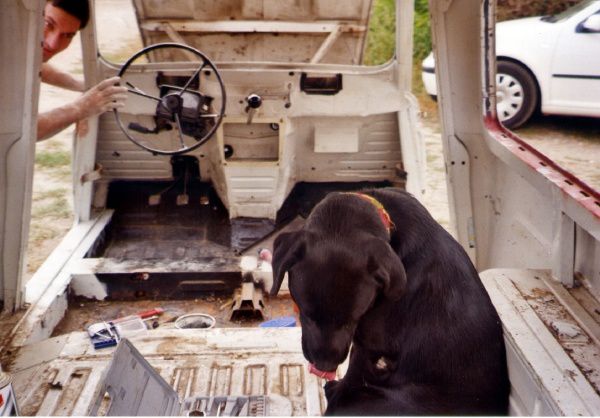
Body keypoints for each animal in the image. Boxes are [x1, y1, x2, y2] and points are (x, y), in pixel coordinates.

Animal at [270, 189, 508, 414]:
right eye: (308, 315)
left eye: (352, 319)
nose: (324, 365)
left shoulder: (369, 344)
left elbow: (351, 377)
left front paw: (336, 396)